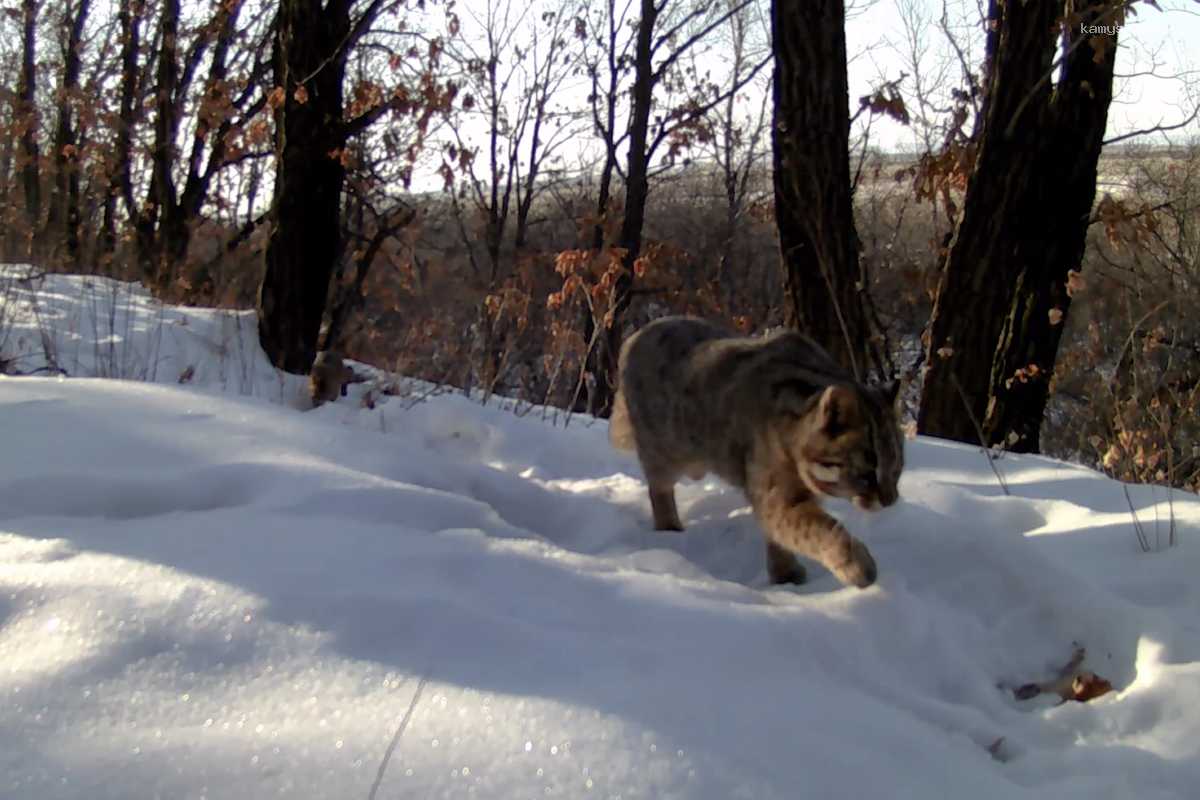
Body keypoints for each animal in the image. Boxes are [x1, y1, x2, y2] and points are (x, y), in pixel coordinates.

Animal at [609, 316, 902, 587]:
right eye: (867, 472)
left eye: (896, 469)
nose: (890, 501)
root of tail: (635, 335)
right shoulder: (775, 496)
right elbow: (819, 528)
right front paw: (857, 565)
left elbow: (785, 534)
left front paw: (784, 575)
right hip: (662, 449)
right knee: (658, 488)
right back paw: (669, 529)